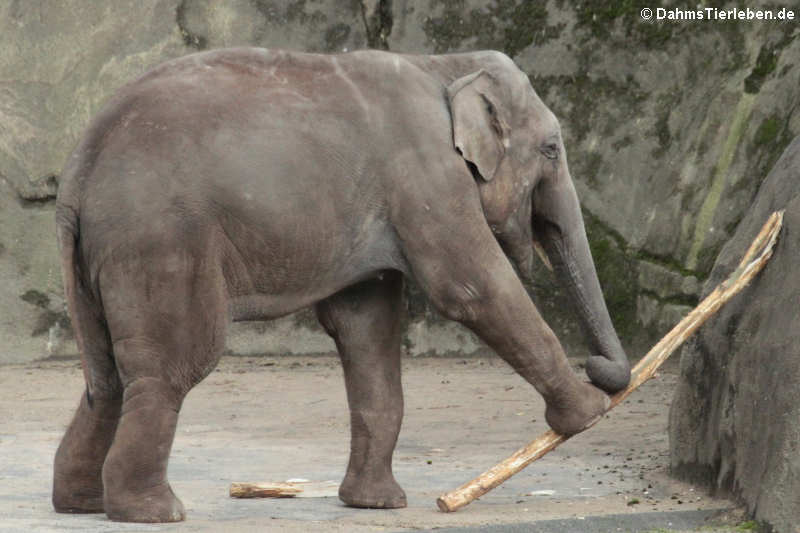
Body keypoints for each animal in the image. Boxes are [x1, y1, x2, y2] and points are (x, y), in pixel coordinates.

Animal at [53, 47, 632, 520]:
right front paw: (589, 413)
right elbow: (471, 289)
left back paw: (83, 503)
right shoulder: (425, 174)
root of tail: (79, 166)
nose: (599, 368)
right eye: (552, 148)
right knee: (174, 364)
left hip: (107, 253)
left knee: (108, 377)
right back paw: (154, 512)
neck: (444, 64)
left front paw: (377, 504)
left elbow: (366, 326)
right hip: (162, 241)